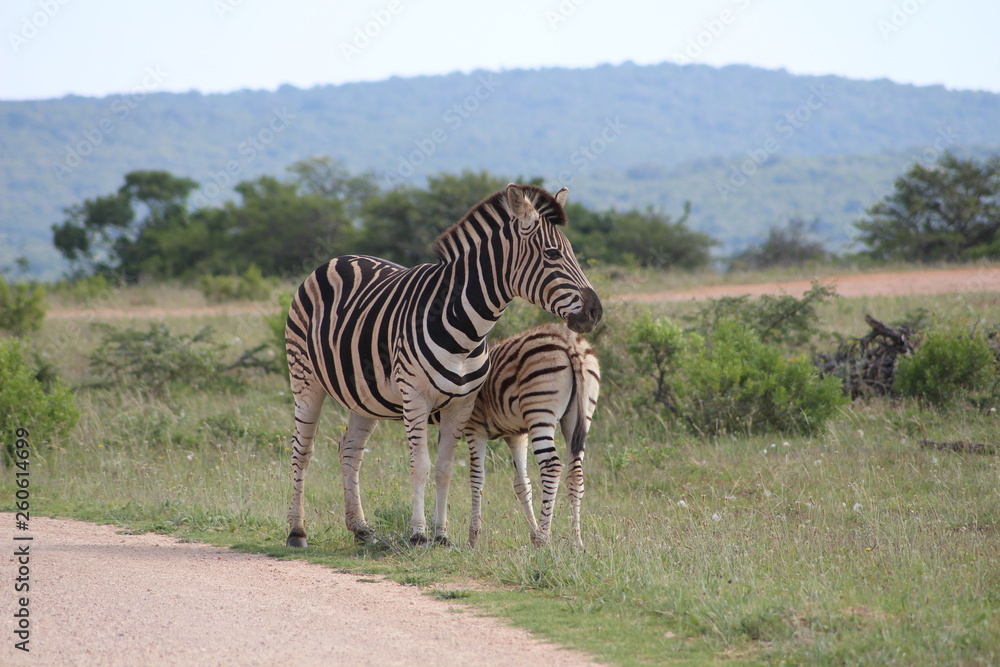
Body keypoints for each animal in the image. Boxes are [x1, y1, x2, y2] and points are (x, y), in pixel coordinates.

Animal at [465, 323, 600, 549]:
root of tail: (569, 341)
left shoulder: (474, 427)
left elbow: (474, 476)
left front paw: (473, 537)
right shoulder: (516, 435)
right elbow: (522, 484)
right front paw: (533, 532)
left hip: (540, 411)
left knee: (552, 467)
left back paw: (544, 538)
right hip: (579, 416)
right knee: (575, 472)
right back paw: (576, 541)